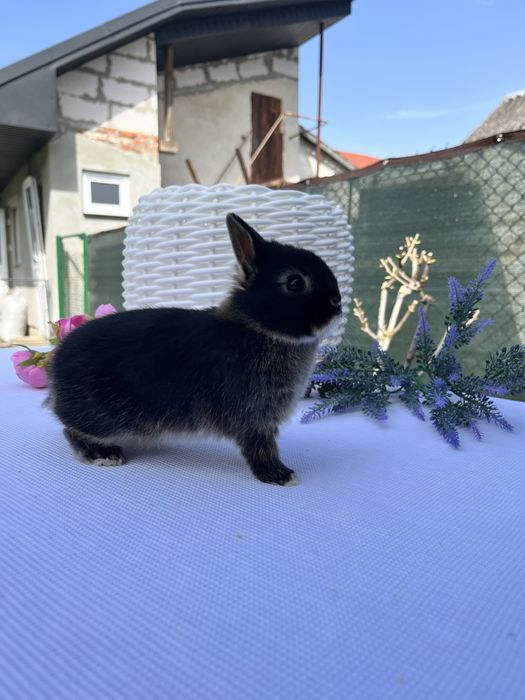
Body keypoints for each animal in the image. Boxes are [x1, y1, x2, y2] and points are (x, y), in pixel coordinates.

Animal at [47, 213, 342, 485]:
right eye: (295, 283)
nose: (337, 302)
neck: (259, 328)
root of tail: (56, 365)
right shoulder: (253, 418)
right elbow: (260, 449)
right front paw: (279, 475)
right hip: (101, 416)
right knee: (71, 430)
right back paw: (105, 454)